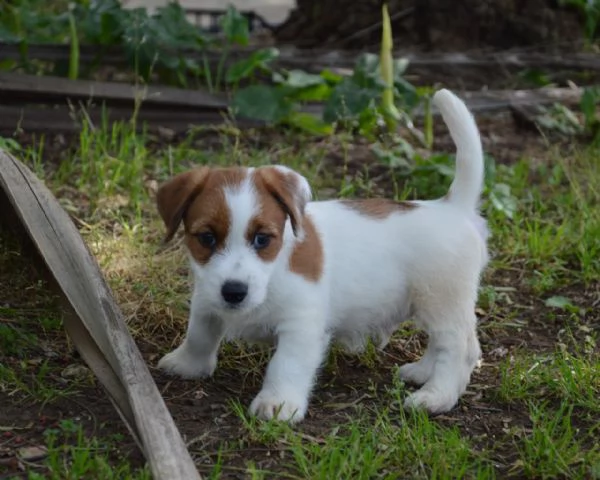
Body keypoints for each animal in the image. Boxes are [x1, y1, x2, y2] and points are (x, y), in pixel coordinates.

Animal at [155, 88, 488, 422]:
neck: (274, 270)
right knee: (446, 344)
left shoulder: (300, 325)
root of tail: (452, 207)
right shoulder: (207, 297)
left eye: (262, 239)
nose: (234, 292)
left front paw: (277, 403)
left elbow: (286, 365)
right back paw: (422, 371)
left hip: (442, 302)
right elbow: (200, 332)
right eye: (206, 238)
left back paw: (437, 395)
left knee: (458, 348)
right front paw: (188, 364)